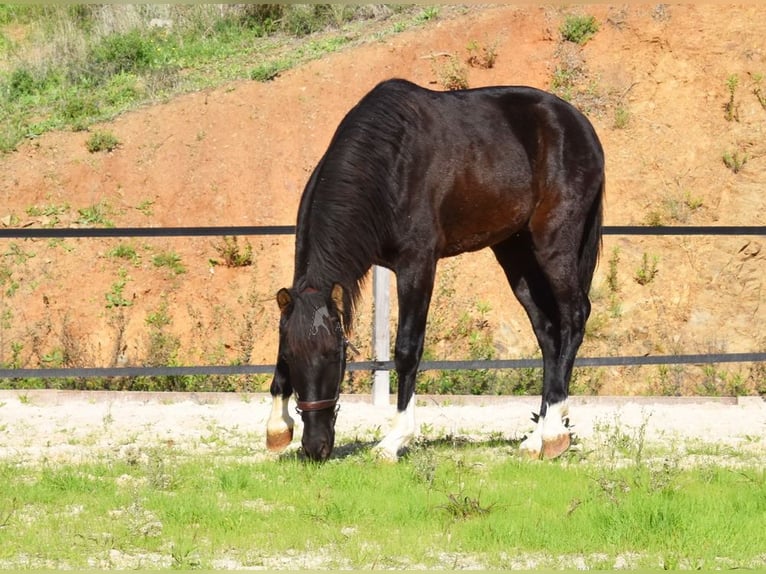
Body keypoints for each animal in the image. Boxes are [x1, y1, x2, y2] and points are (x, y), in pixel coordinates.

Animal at [264, 77, 608, 464]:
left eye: (333, 355)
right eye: (292, 357)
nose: (315, 447)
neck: (387, 162)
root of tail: (579, 124)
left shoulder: (417, 264)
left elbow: (407, 349)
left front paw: (394, 439)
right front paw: (276, 428)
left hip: (554, 242)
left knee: (574, 316)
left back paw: (553, 434)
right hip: (515, 253)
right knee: (548, 333)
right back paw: (536, 437)